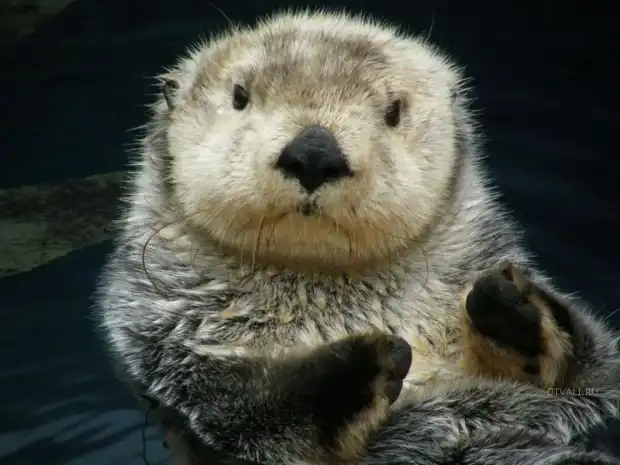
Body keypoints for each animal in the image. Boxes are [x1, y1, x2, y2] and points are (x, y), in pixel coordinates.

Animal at [95, 10, 620, 465]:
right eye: (240, 95)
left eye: (393, 111)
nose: (314, 151)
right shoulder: (169, 350)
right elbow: (250, 413)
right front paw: (368, 360)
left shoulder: (587, 389)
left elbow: (593, 372)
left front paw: (509, 303)